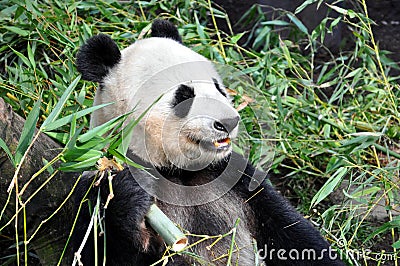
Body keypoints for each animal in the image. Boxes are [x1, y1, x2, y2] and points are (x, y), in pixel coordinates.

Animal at [72, 19, 344, 264]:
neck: (179, 171)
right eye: (184, 96)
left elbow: (291, 231)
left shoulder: (235, 178)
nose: (229, 121)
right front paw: (132, 195)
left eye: (218, 88)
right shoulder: (91, 187)